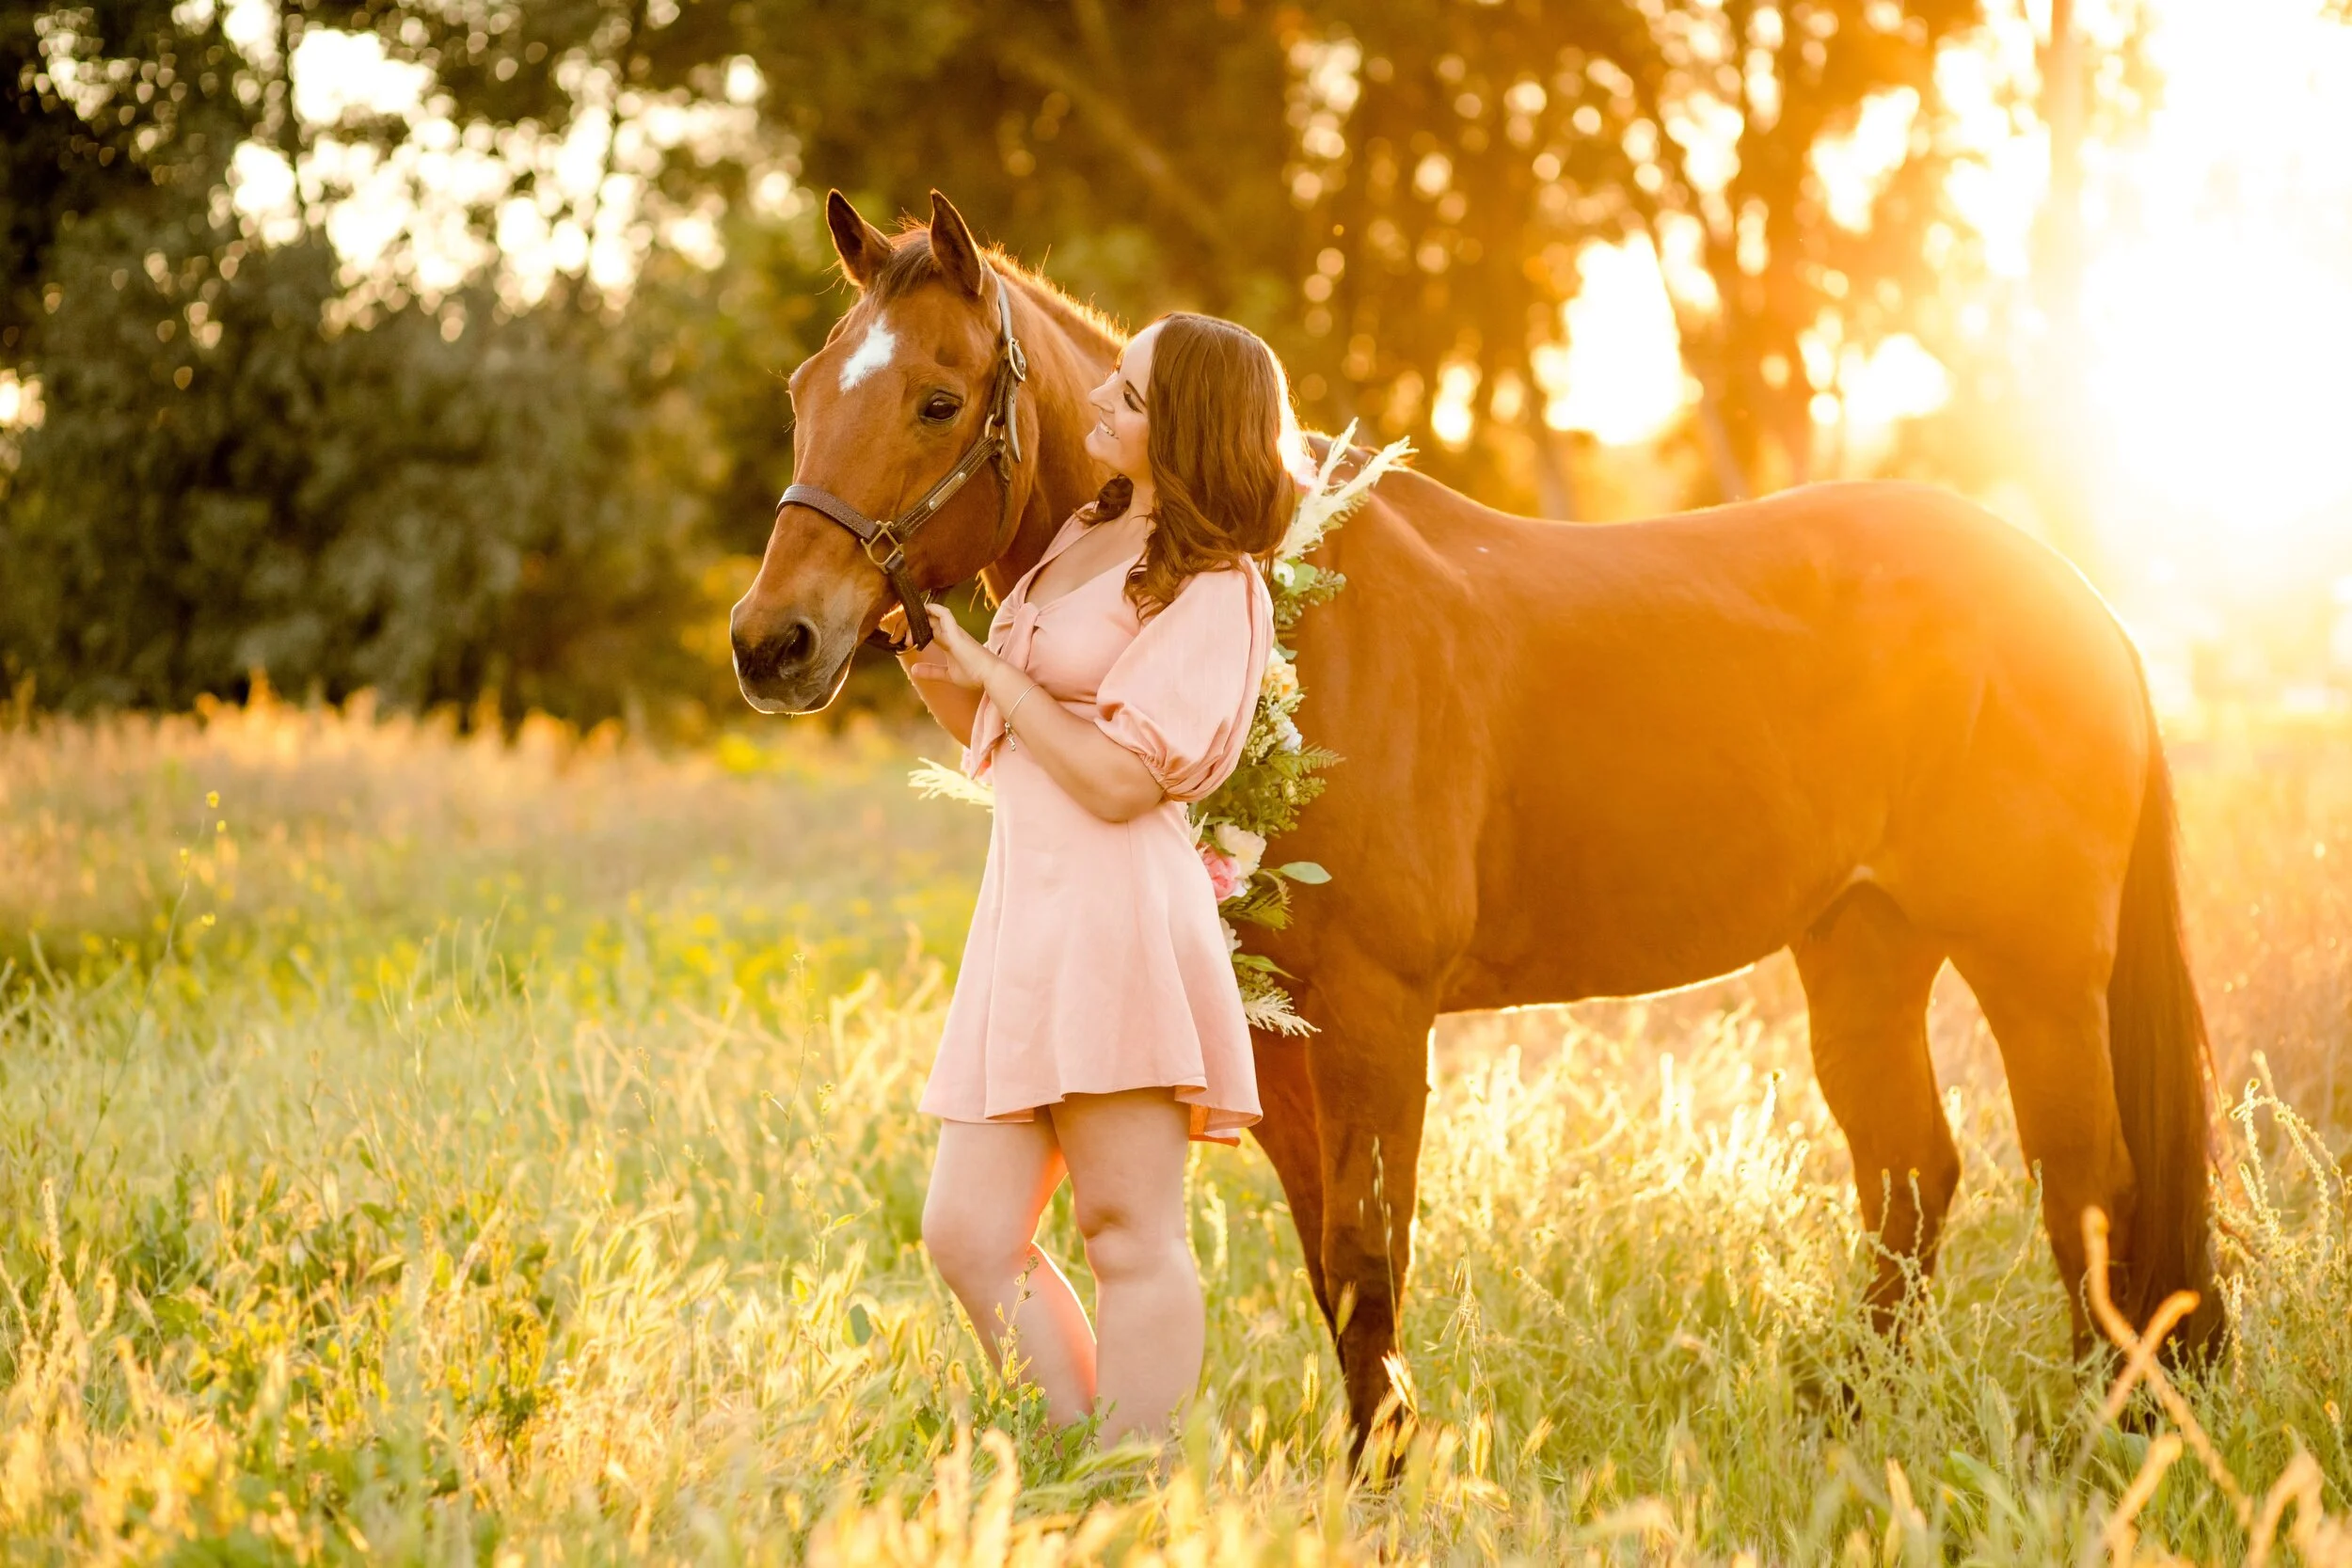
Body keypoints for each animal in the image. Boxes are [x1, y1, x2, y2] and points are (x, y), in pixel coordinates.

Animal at [730, 189, 2222, 1446]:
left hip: (2033, 964)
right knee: (1911, 1176)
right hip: (1862, 944)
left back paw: (2109, 1441)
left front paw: (1385, 1479)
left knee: (2086, 1184)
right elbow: (1333, 1263)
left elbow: (1369, 1255)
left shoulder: (1380, 1020)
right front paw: (1368, 1464)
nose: (771, 641)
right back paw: (1849, 1423)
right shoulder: (1277, 1041)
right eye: (806, 391)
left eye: (936, 399)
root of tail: (2076, 597)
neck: (1277, 593)